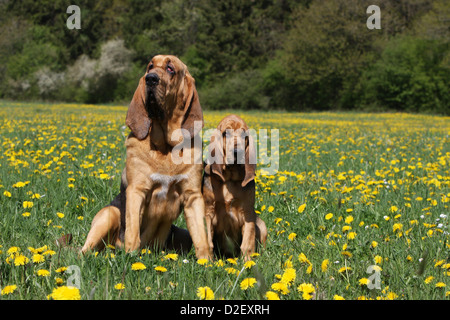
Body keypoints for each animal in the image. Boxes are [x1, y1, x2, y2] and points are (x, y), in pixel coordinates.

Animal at [81, 55, 211, 260]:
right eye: (150, 66)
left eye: (170, 68)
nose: (150, 79)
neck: (165, 149)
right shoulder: (137, 192)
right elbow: (133, 234)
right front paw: (131, 258)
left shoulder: (193, 196)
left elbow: (202, 238)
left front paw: (208, 263)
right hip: (110, 213)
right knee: (84, 250)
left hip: (181, 233)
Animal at [202, 115, 266, 260]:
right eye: (226, 133)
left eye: (244, 135)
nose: (237, 152)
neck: (229, 179)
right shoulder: (208, 212)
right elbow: (207, 240)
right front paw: (207, 262)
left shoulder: (248, 212)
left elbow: (247, 242)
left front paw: (248, 262)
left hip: (262, 225)